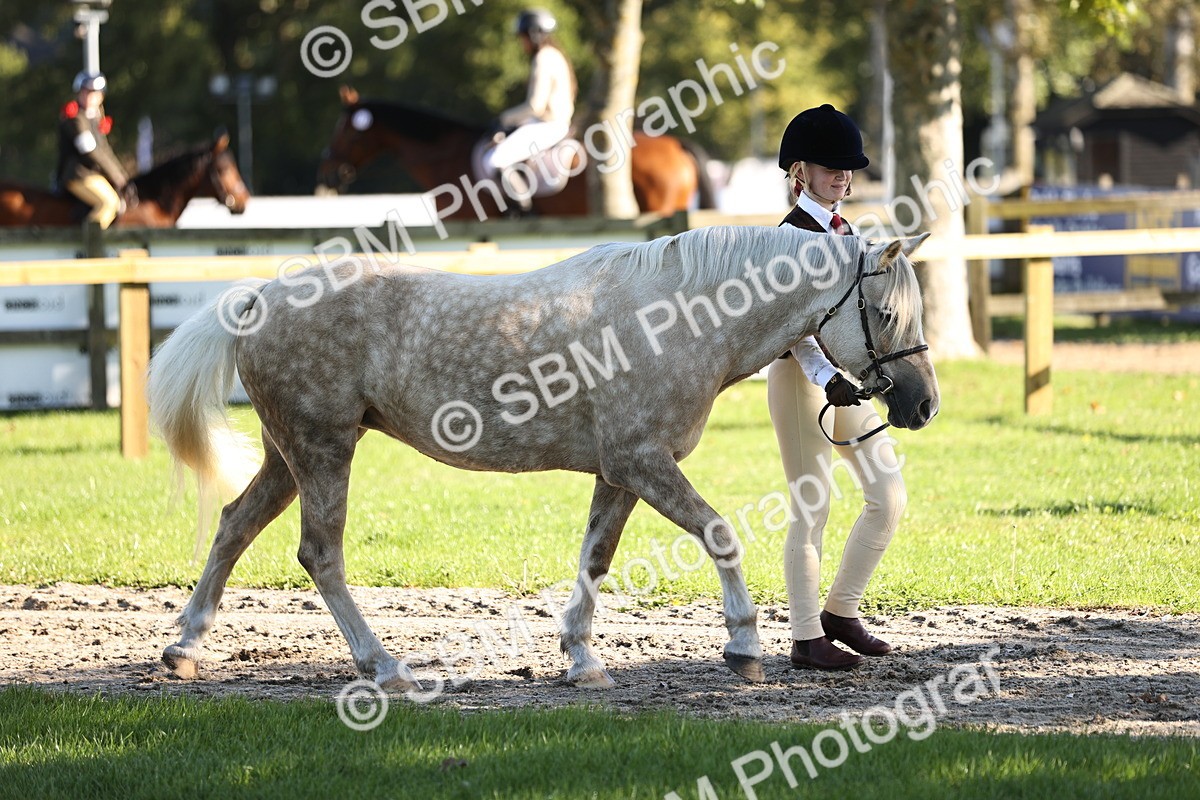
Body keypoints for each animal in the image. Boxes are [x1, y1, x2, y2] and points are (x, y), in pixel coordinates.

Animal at [147, 225, 938, 692]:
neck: (680, 316)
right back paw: (385, 666)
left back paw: (184, 650)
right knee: (320, 554)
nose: (923, 404)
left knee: (234, 525)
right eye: (887, 313)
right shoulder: (643, 461)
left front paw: (582, 660)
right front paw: (742, 648)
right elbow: (718, 533)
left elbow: (595, 560)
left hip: (290, 455)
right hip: (322, 451)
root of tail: (258, 296)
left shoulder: (619, 474)